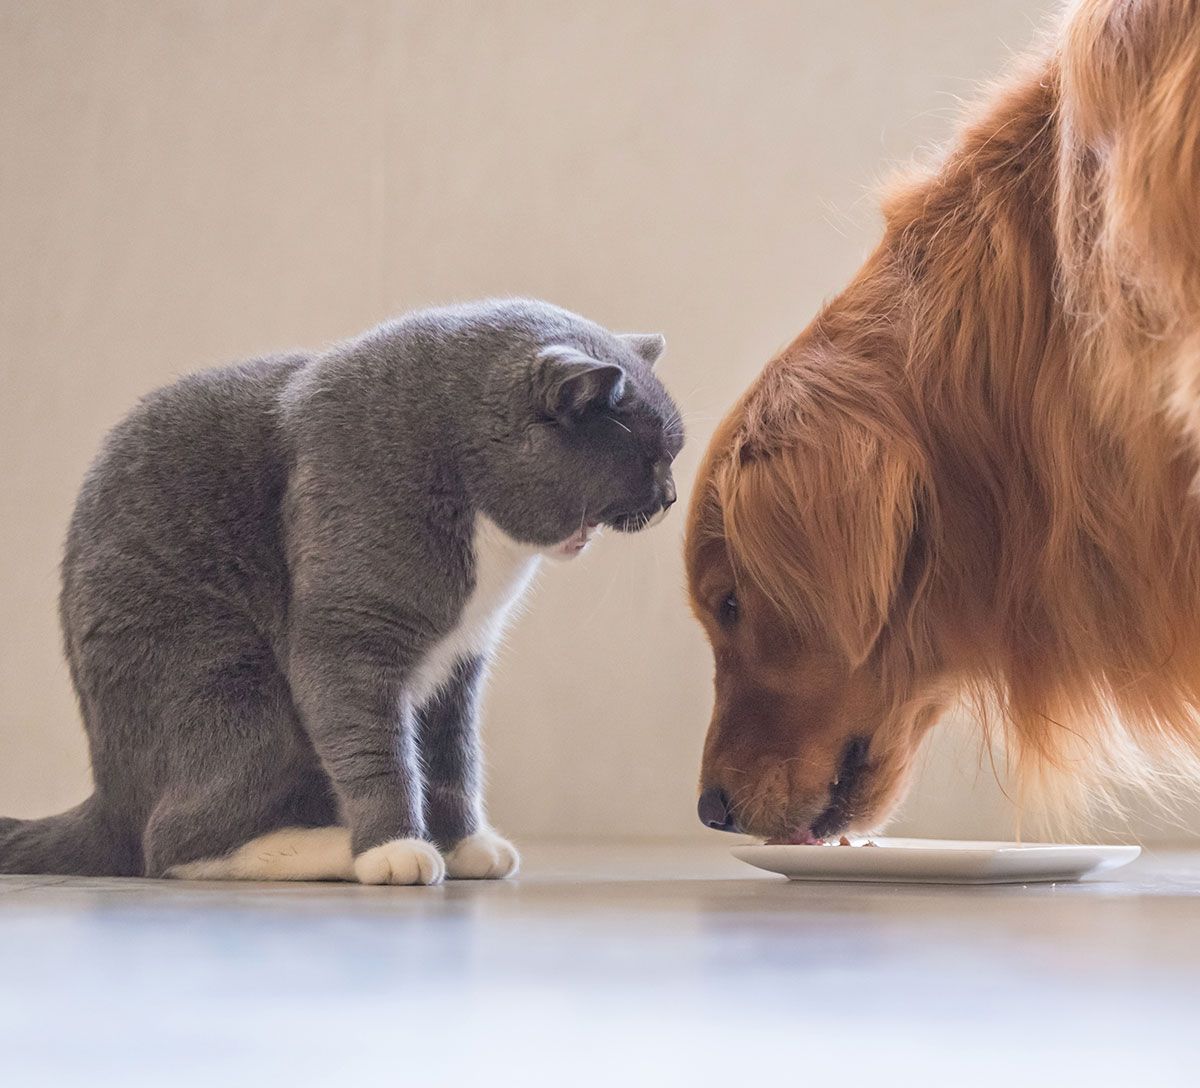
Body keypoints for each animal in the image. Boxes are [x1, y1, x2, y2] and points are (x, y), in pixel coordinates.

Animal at [0, 297, 686, 882]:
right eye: (650, 456)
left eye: (672, 458)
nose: (671, 498)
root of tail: (108, 800)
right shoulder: (348, 632)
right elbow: (375, 747)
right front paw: (396, 848)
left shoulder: (461, 661)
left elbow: (454, 757)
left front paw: (465, 844)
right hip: (222, 680)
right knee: (171, 844)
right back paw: (333, 847)